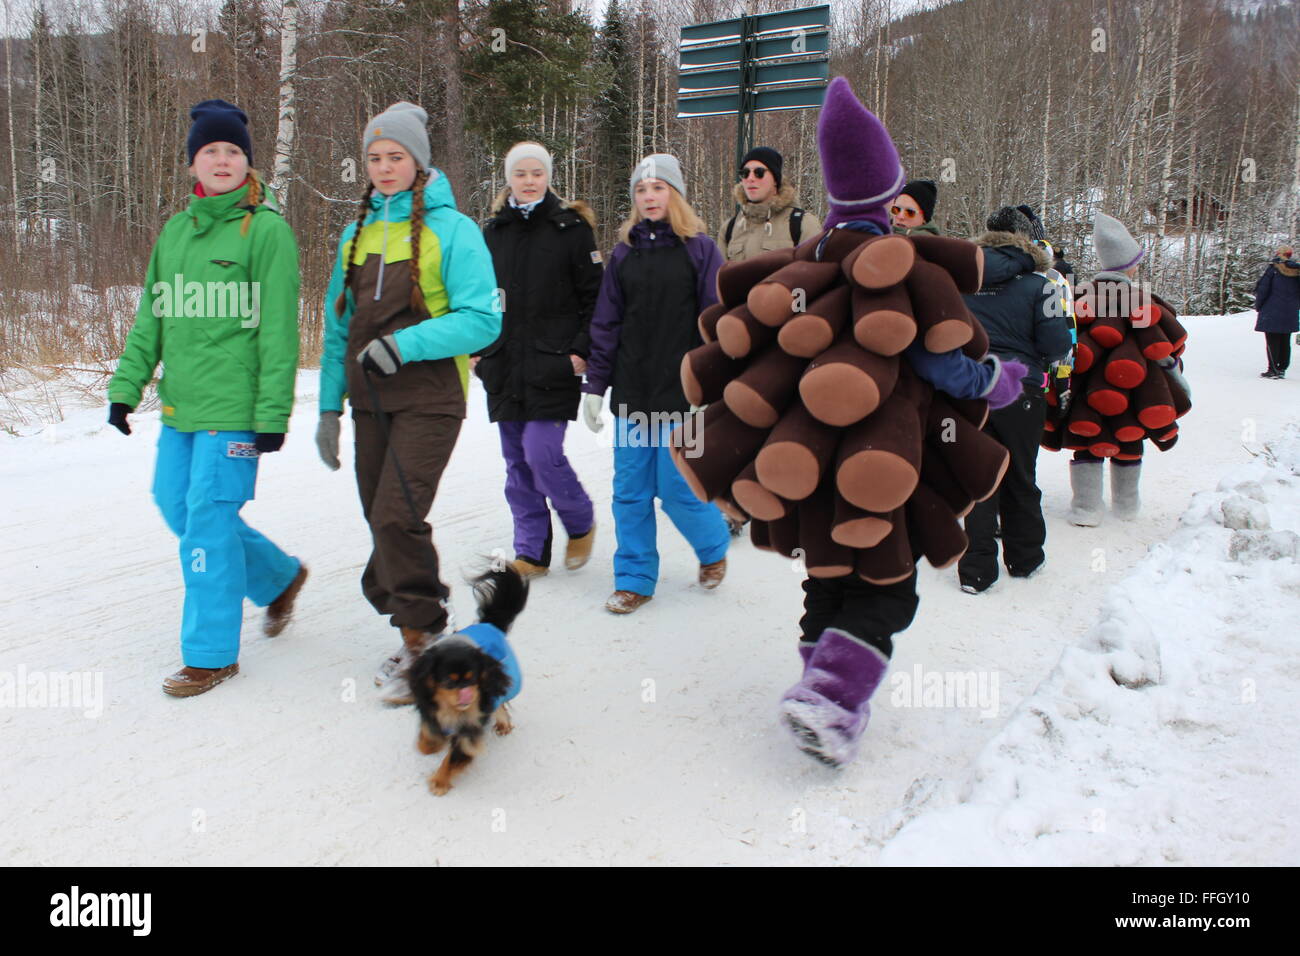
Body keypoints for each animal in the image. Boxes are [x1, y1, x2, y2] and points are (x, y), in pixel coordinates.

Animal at [408, 572, 525, 796]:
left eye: (472, 678)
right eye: (448, 682)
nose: (468, 696)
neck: (451, 709)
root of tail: (490, 624)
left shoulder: (470, 730)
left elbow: (455, 756)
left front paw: (439, 782)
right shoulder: (429, 709)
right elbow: (427, 741)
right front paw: (433, 744)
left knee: (499, 701)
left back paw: (503, 723)